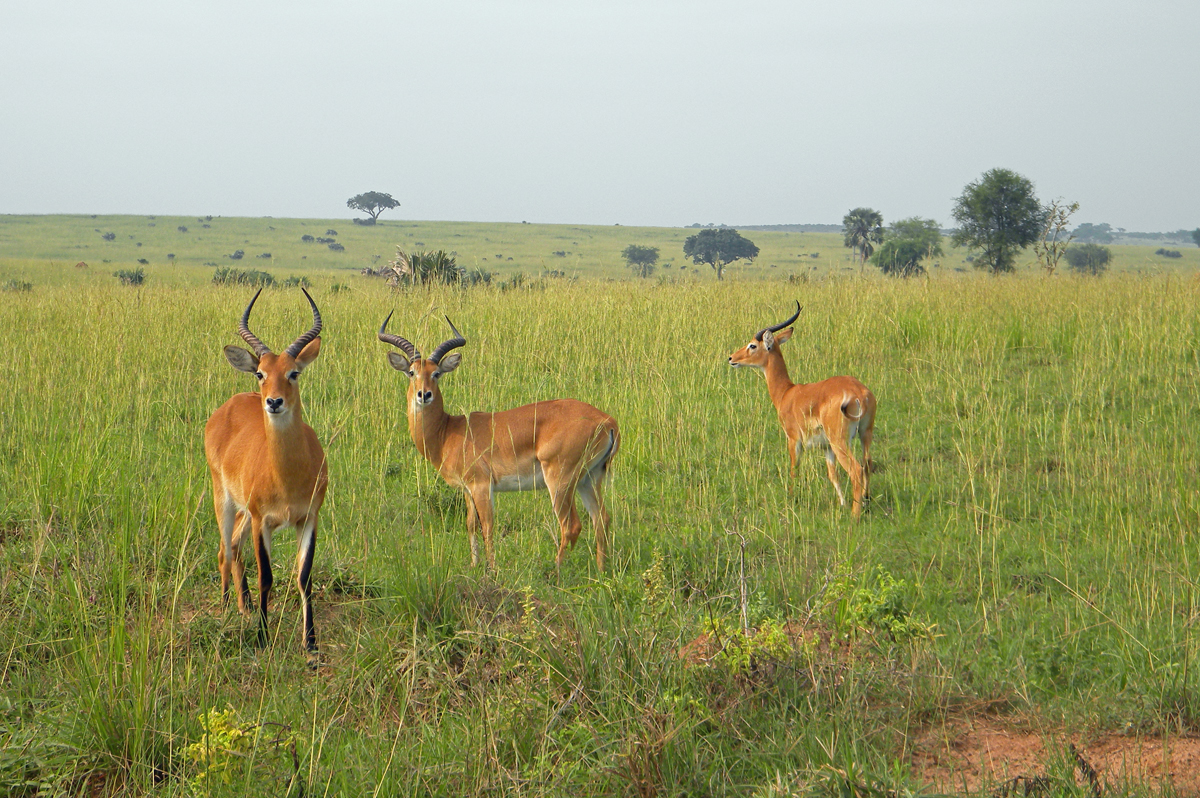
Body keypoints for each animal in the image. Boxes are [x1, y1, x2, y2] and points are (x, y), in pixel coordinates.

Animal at [204, 287, 328, 660]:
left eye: (294, 372)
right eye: (260, 372)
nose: (273, 402)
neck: (287, 476)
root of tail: (228, 406)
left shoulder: (309, 518)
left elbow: (304, 577)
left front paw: (311, 645)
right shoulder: (264, 522)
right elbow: (267, 577)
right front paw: (262, 637)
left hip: (245, 512)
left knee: (233, 545)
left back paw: (243, 608)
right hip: (225, 500)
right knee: (225, 550)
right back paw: (227, 610)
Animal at [378, 313, 620, 572]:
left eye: (437, 373)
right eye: (412, 372)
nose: (424, 395)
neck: (447, 431)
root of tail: (607, 421)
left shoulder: (482, 486)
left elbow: (487, 527)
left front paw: (492, 570)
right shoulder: (468, 490)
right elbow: (471, 524)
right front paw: (474, 565)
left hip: (560, 480)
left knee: (571, 526)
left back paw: (555, 571)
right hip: (590, 478)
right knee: (601, 519)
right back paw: (601, 570)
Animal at [728, 301, 876, 518]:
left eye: (752, 345)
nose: (731, 358)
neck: (787, 393)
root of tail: (859, 393)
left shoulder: (793, 439)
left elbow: (793, 469)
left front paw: (791, 498)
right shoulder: (826, 448)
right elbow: (833, 475)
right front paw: (842, 503)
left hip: (840, 441)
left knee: (856, 470)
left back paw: (854, 516)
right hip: (865, 434)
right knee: (867, 464)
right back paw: (864, 501)